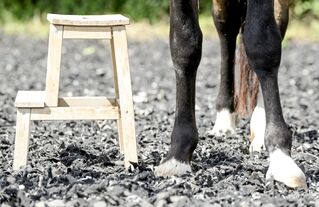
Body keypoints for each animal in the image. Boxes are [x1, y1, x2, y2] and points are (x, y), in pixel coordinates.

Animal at [154, 0, 308, 188]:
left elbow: (262, 43)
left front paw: (281, 158)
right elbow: (184, 43)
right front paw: (177, 154)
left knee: (277, 22)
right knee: (226, 25)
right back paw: (225, 116)